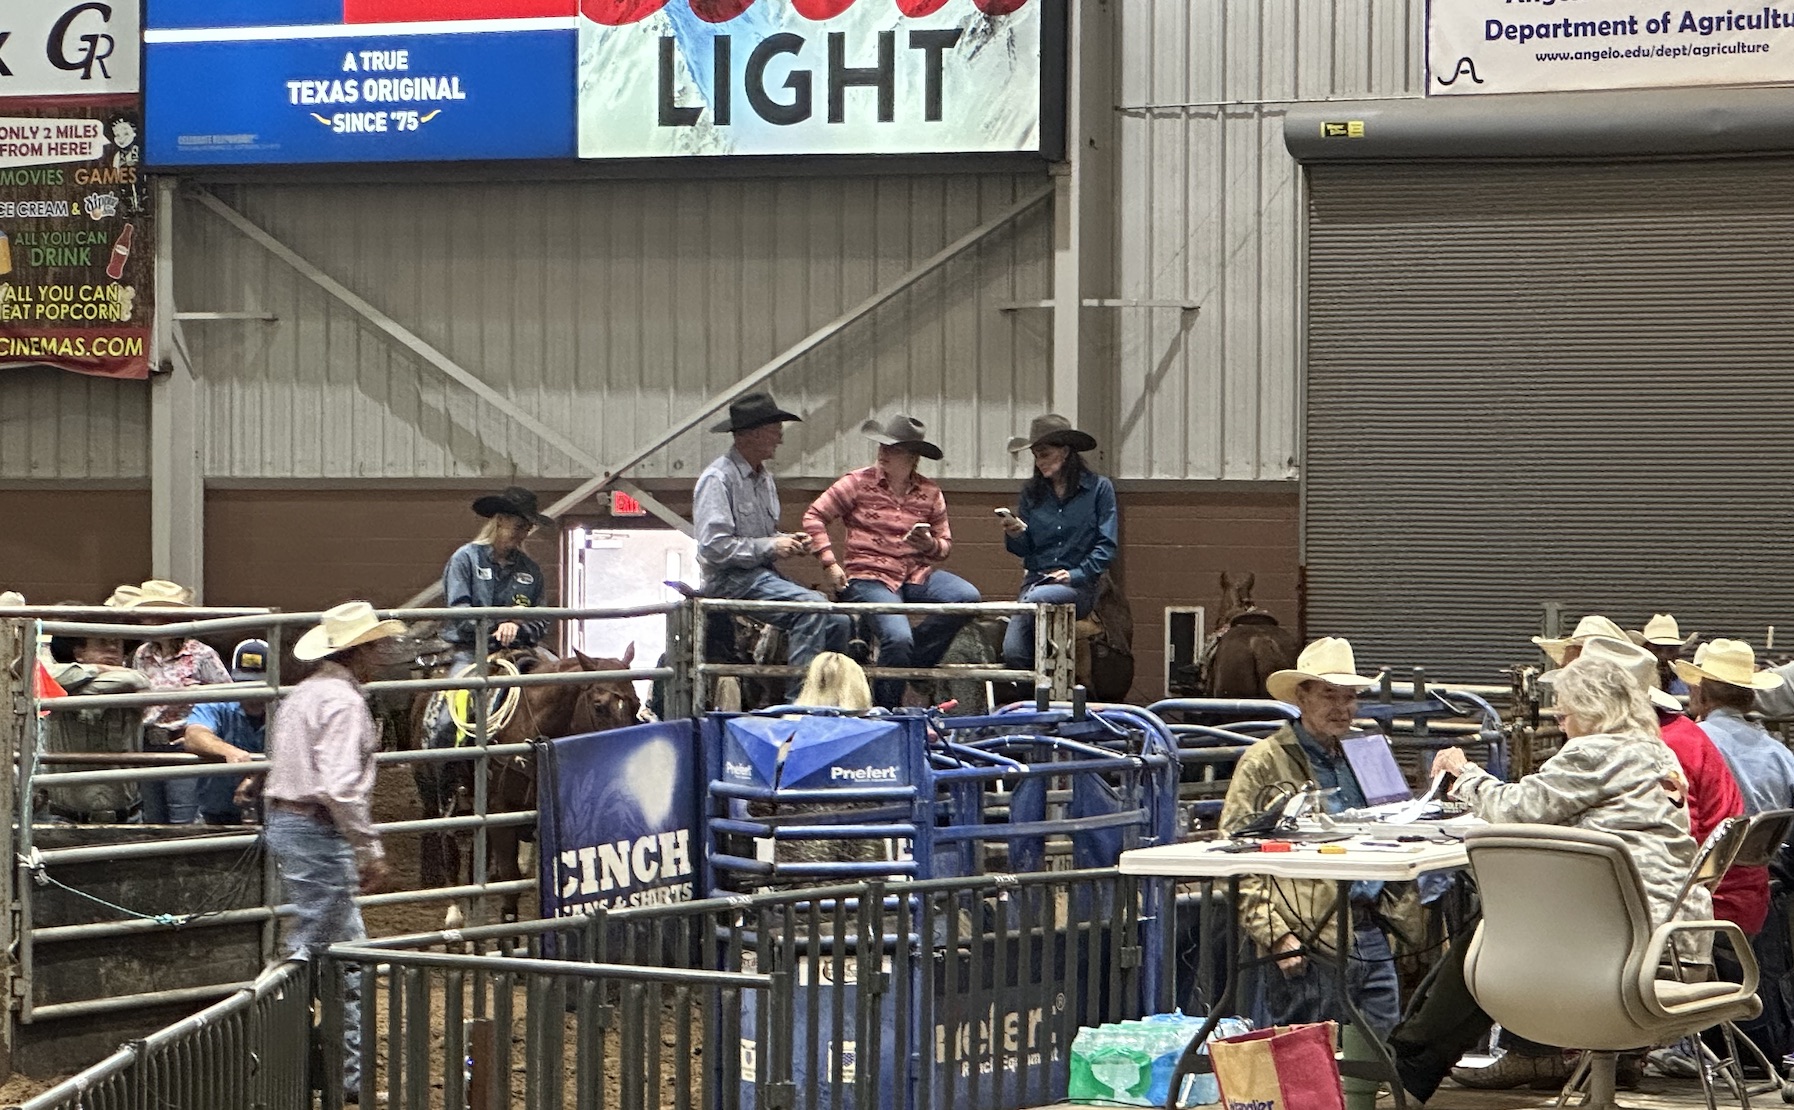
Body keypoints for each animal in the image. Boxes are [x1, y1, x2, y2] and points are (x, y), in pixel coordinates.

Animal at [412, 641, 645, 918]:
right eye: (599, 706)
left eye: (636, 703)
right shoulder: (501, 814)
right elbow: (510, 884)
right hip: (437, 798)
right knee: (449, 849)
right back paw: (454, 916)